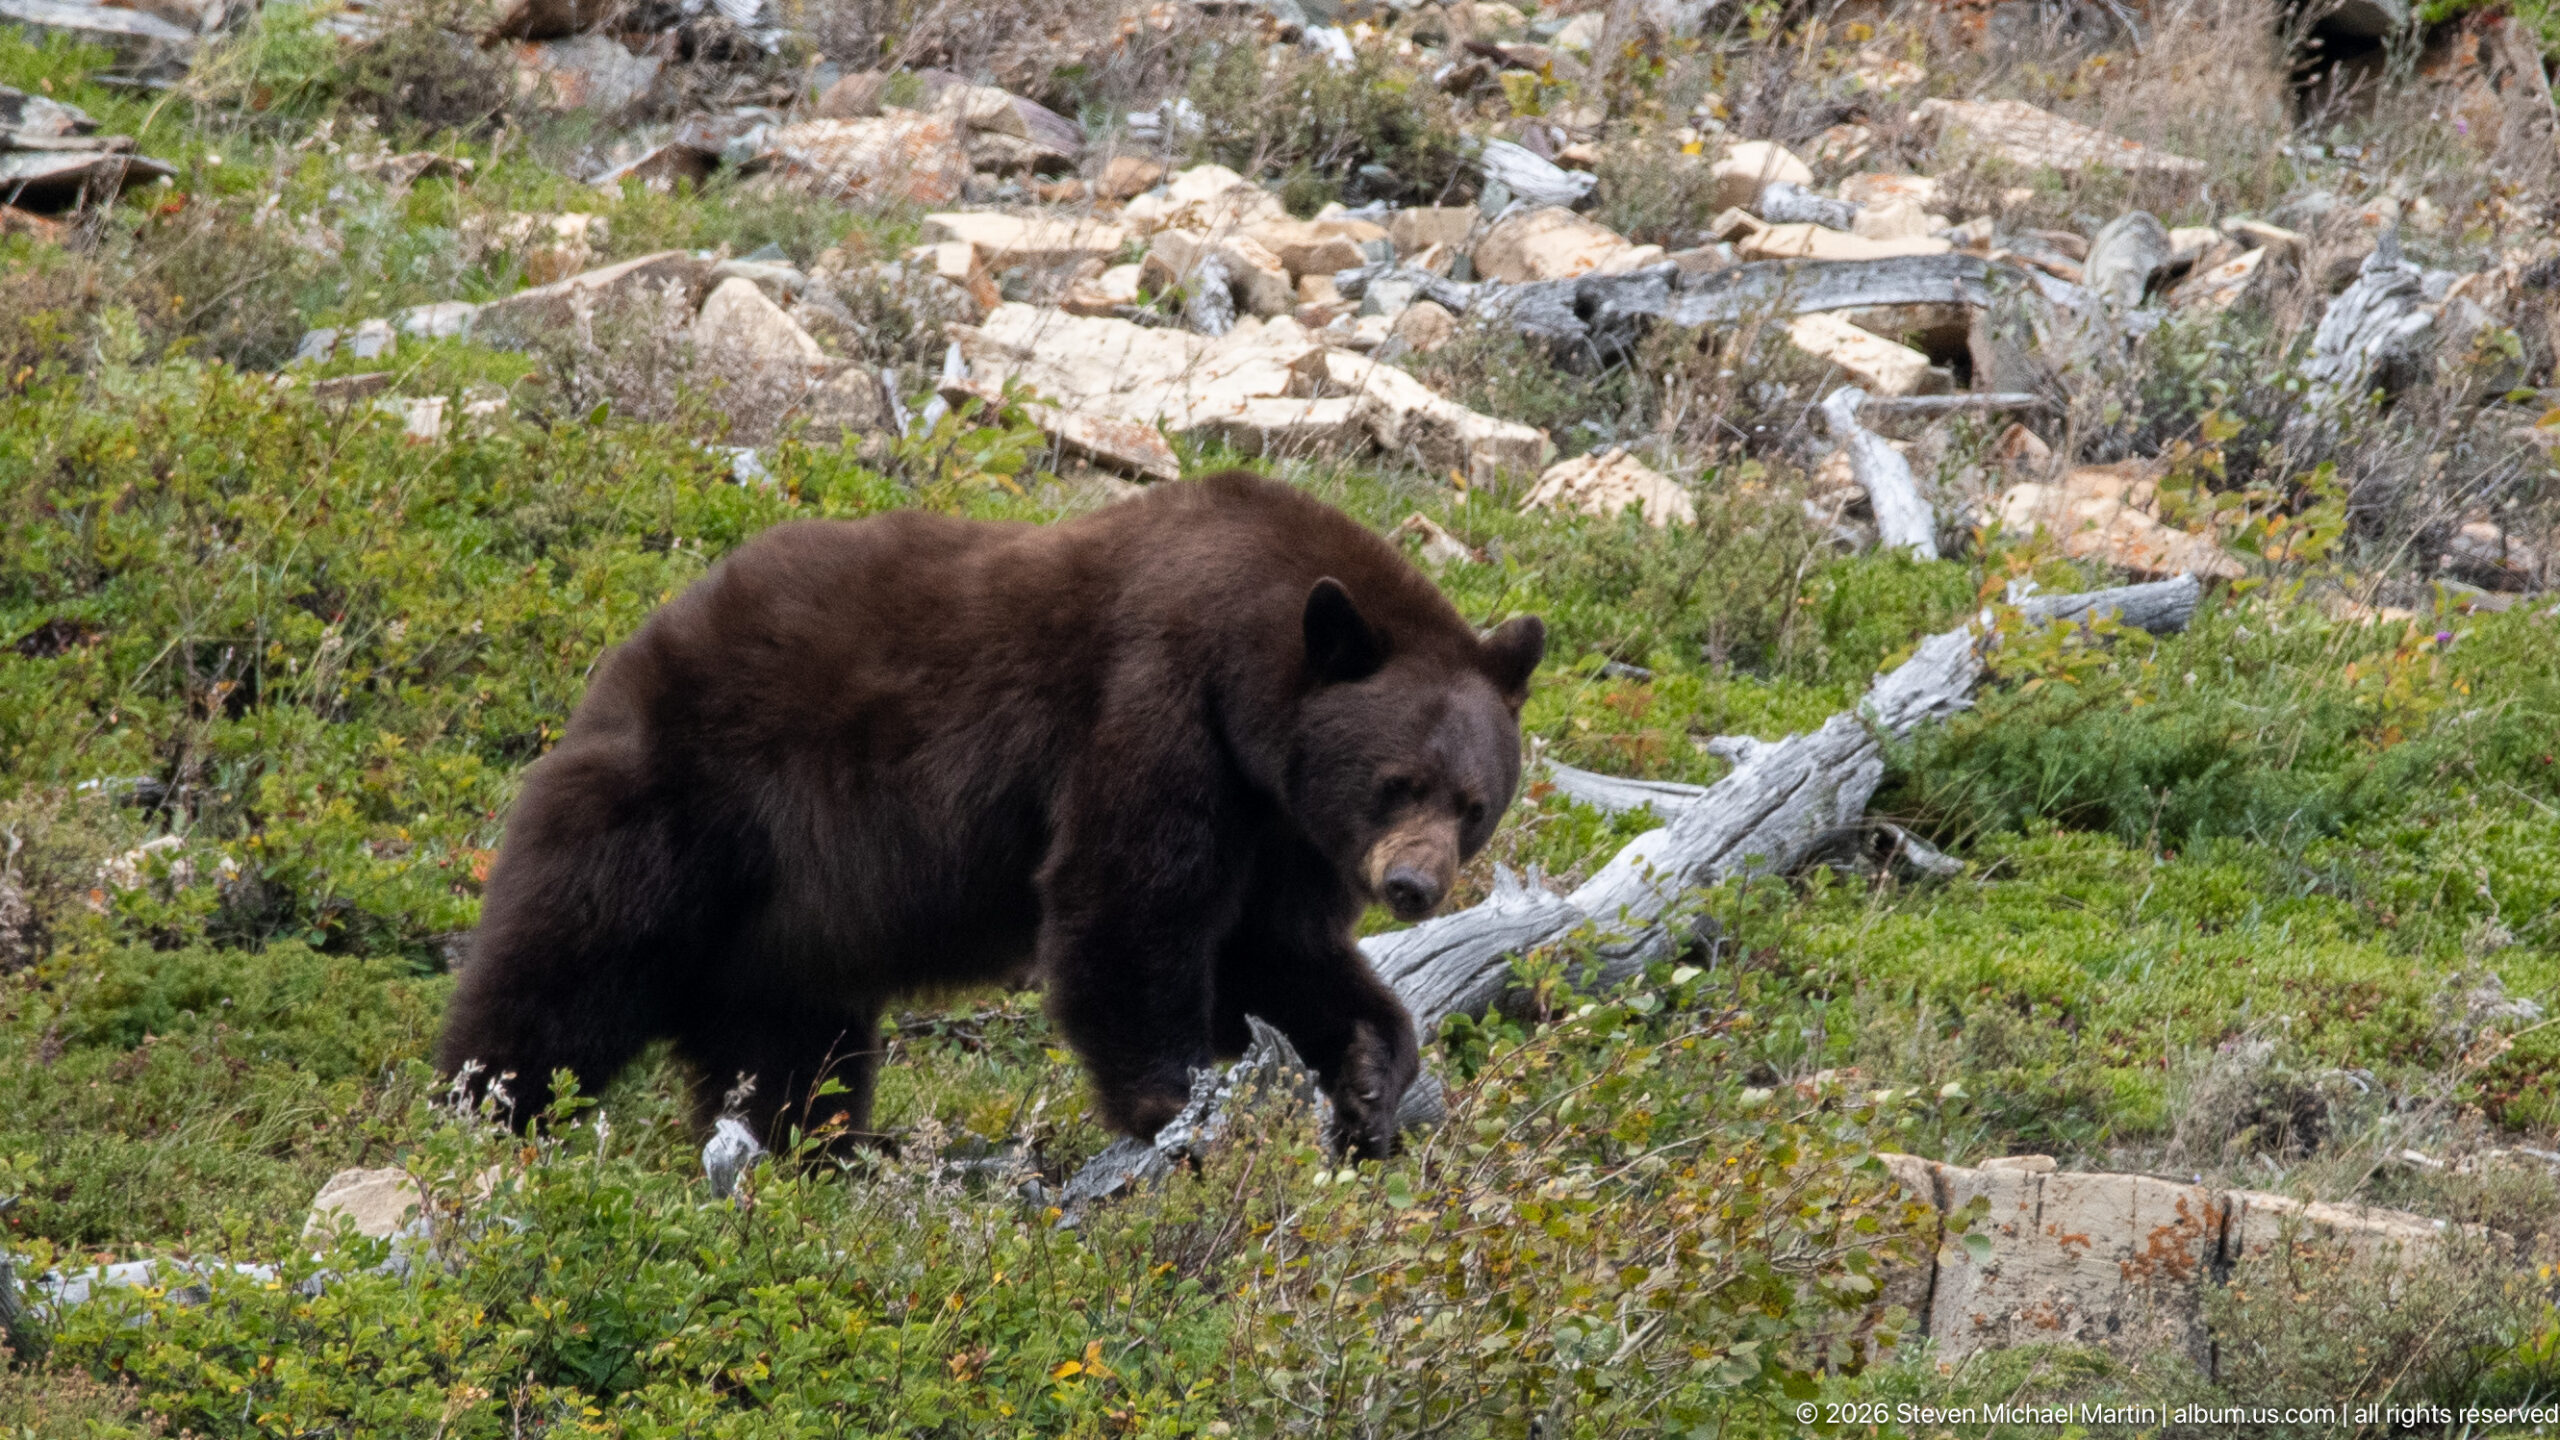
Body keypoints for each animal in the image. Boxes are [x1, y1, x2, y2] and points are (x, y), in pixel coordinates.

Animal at [434, 469, 1545, 1158]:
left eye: (1473, 803)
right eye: (1395, 781)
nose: (1413, 885)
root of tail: (630, 653)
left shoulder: (1280, 829)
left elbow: (1276, 949)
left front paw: (1368, 1085)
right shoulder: (1155, 714)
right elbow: (1125, 909)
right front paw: (1176, 1110)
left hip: (786, 925)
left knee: (787, 1045)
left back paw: (814, 1152)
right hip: (686, 815)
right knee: (566, 971)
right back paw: (483, 1105)